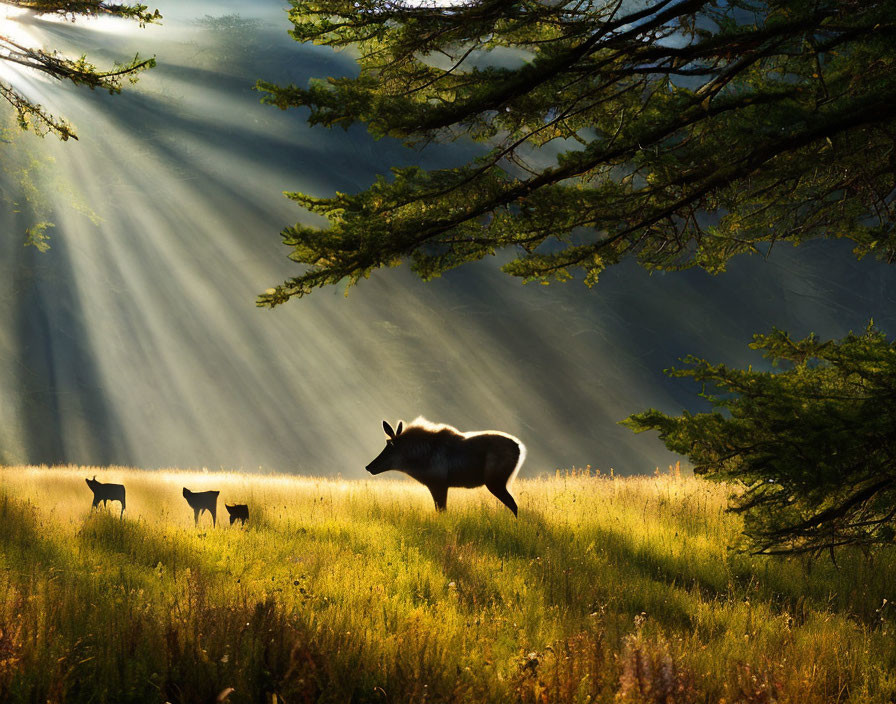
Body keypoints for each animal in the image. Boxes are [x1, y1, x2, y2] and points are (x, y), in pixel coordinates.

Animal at [364, 416, 524, 516]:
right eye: (387, 443)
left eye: (391, 445)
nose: (369, 466)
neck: (418, 460)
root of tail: (519, 448)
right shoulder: (439, 486)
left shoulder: (438, 484)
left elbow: (442, 511)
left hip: (495, 482)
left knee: (513, 505)